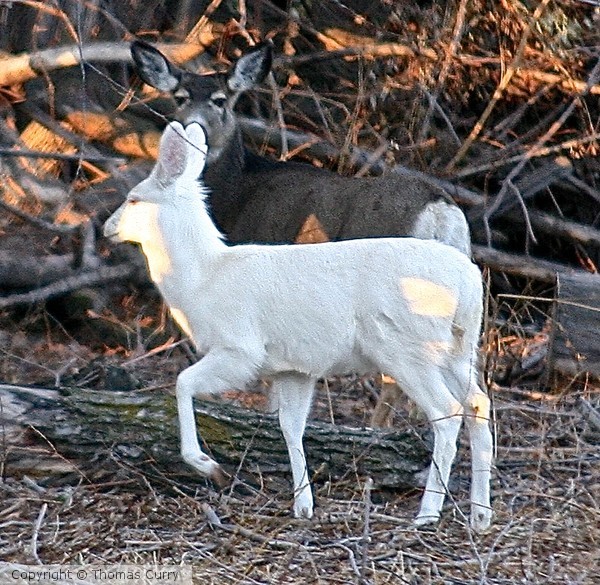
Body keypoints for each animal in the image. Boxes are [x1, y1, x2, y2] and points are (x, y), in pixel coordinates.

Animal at [105, 121, 494, 532]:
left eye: (134, 199)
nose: (107, 227)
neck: (203, 278)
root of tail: (468, 281)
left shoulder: (240, 348)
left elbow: (182, 384)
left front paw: (209, 467)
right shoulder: (294, 367)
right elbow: (290, 427)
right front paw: (303, 505)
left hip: (409, 347)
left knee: (447, 412)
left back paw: (427, 514)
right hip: (458, 347)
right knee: (478, 403)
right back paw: (480, 514)